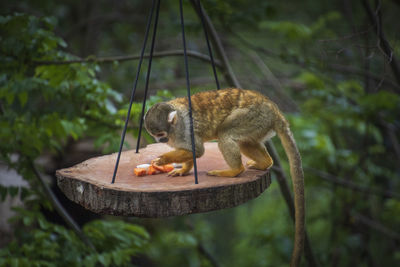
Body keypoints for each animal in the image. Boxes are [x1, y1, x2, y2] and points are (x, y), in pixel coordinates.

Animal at [145, 88, 304, 267]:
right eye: (155, 134)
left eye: (161, 133)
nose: (161, 140)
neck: (174, 128)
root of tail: (273, 108)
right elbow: (191, 152)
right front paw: (183, 170)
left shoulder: (184, 130)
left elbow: (197, 150)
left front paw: (163, 159)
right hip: (261, 124)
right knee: (243, 141)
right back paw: (265, 163)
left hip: (256, 117)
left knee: (225, 133)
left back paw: (235, 170)